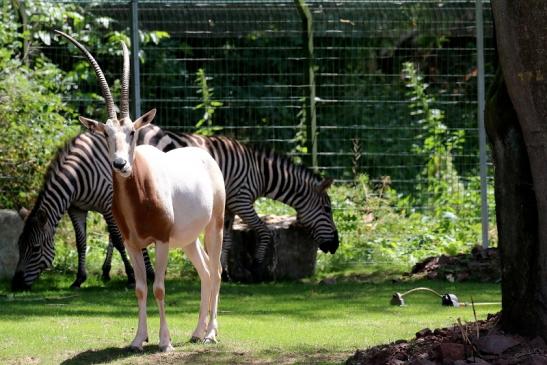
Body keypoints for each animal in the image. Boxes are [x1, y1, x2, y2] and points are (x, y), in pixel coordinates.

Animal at [11, 123, 338, 288]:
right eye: (328, 210)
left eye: (34, 249)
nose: (334, 246)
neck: (258, 170)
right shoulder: (243, 200)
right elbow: (264, 231)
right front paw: (257, 270)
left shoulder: (231, 206)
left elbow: (228, 241)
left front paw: (228, 273)